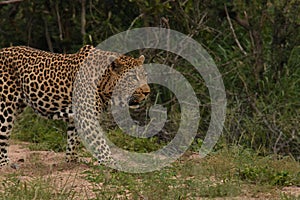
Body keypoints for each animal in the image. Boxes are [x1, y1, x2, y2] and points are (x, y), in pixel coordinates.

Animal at [0, 45, 150, 167]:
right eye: (133, 78)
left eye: (144, 75)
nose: (147, 92)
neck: (104, 83)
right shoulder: (87, 117)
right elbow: (100, 143)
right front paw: (112, 163)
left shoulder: (77, 116)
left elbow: (74, 139)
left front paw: (72, 160)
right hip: (5, 107)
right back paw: (6, 164)